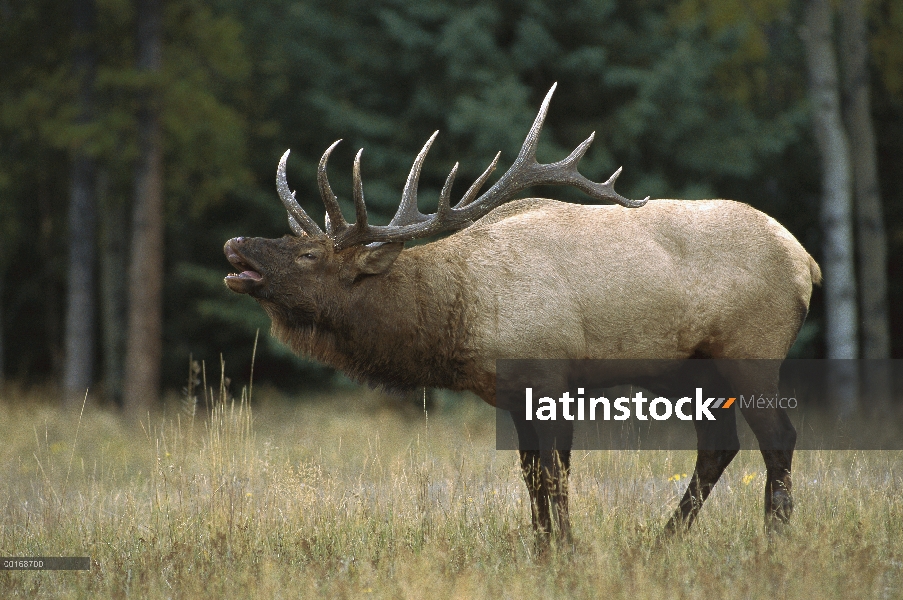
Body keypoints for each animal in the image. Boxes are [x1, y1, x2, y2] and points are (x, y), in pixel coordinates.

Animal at [224, 85, 820, 544]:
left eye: (310, 253)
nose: (235, 244)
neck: (458, 312)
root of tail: (805, 261)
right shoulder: (514, 395)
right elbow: (533, 478)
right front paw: (543, 549)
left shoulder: (550, 376)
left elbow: (554, 477)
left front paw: (567, 549)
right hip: (692, 369)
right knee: (718, 446)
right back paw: (662, 541)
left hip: (751, 350)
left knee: (779, 438)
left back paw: (774, 539)